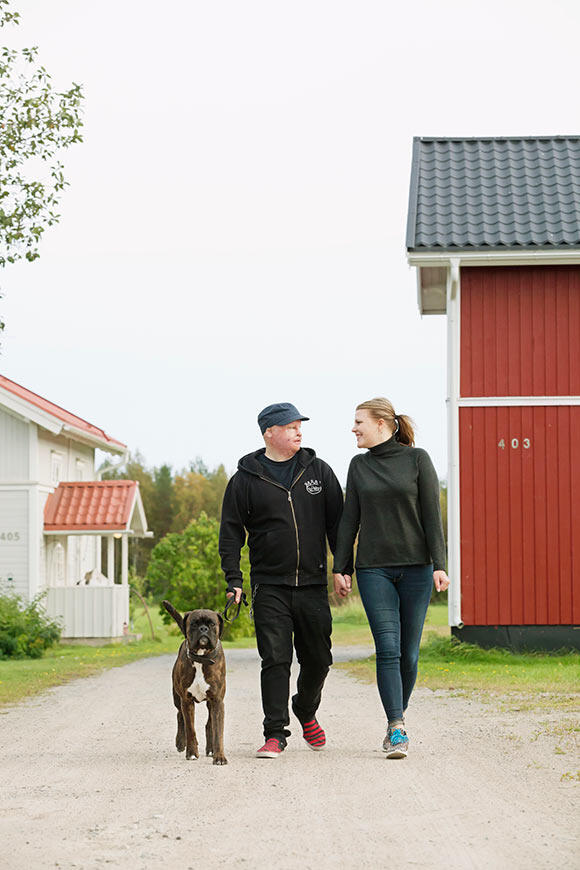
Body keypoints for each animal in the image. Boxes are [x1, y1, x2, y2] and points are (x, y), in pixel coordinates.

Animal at [163, 604, 229, 768]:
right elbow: (190, 729)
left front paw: (219, 756)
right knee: (179, 716)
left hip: (211, 704)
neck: (201, 657)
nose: (203, 629)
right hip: (177, 698)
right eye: (193, 624)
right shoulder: (186, 700)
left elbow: (217, 731)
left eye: (212, 624)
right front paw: (192, 753)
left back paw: (211, 749)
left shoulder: (217, 701)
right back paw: (180, 743)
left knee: (209, 725)